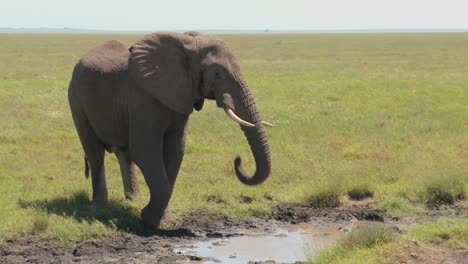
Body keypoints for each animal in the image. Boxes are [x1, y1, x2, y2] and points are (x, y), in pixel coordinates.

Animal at [67, 31, 272, 228]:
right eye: (217, 74)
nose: (238, 160)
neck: (186, 43)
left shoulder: (180, 97)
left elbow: (176, 150)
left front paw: (160, 220)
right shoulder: (142, 99)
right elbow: (145, 151)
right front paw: (149, 219)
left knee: (124, 154)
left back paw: (133, 200)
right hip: (76, 98)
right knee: (95, 153)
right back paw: (99, 206)